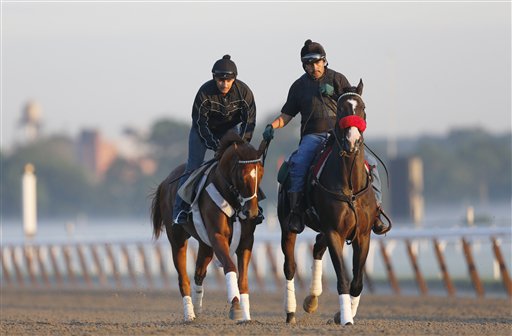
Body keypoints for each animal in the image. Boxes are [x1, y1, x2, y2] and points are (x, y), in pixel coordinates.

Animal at [151, 130, 268, 322]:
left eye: (261, 174)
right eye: (242, 176)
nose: (251, 212)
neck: (231, 198)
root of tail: (165, 181)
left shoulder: (246, 240)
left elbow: (243, 279)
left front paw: (246, 315)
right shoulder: (217, 236)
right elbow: (230, 267)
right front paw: (235, 307)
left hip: (205, 244)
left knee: (199, 273)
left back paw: (197, 308)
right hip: (177, 239)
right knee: (183, 278)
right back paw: (189, 314)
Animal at [278, 79, 378, 326]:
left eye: (362, 108)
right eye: (341, 108)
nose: (352, 141)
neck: (350, 185)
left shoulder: (363, 234)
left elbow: (357, 282)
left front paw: (345, 313)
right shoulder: (335, 232)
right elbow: (342, 279)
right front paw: (346, 319)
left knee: (316, 246)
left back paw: (312, 299)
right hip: (288, 227)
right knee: (289, 267)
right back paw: (291, 311)